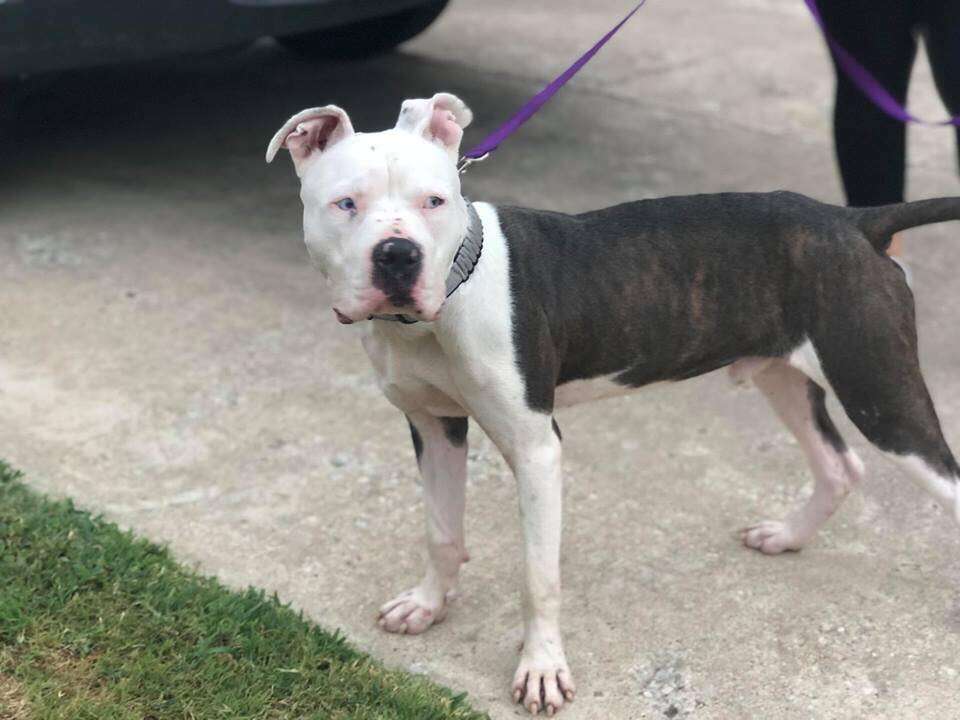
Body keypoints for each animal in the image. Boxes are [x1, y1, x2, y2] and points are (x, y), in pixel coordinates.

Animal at [266, 91, 960, 716]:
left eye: (433, 202)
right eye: (345, 204)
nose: (398, 254)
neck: (448, 296)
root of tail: (854, 222)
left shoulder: (536, 450)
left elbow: (538, 577)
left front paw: (542, 669)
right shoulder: (434, 428)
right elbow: (440, 530)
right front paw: (428, 605)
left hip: (881, 393)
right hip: (785, 376)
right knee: (839, 465)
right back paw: (788, 537)